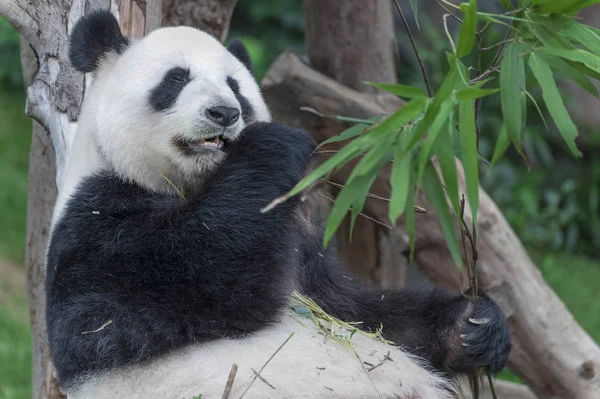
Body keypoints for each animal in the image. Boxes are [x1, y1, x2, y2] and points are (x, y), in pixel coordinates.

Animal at [47, 10, 510, 399]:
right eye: (176, 79)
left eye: (235, 86)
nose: (224, 112)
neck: (196, 183)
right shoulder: (95, 226)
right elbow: (203, 280)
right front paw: (274, 145)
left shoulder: (302, 243)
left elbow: (356, 311)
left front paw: (473, 328)